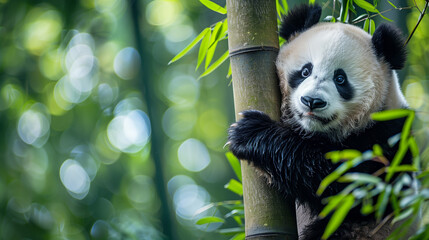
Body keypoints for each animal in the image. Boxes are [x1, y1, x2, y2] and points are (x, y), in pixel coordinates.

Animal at [227, 3, 412, 240]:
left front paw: (250, 132)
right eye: (305, 71)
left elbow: (339, 182)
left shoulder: (386, 140)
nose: (312, 101)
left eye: (340, 79)